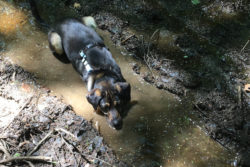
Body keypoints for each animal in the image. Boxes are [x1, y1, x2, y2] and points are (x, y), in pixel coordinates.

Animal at [29, 0, 131, 130]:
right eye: (105, 107)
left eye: (118, 104)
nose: (117, 125)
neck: (102, 72)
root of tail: (55, 24)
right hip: (56, 41)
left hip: (90, 19)